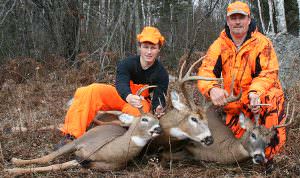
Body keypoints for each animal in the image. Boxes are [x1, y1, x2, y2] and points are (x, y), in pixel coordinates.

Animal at [4, 85, 162, 176]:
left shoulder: (84, 162)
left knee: (59, 126)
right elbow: (47, 158)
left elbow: (56, 166)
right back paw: (11, 129)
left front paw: (14, 169)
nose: (158, 128)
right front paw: (13, 165)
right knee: (63, 126)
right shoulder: (81, 142)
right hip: (88, 128)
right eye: (144, 119)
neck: (106, 151)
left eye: (158, 121)